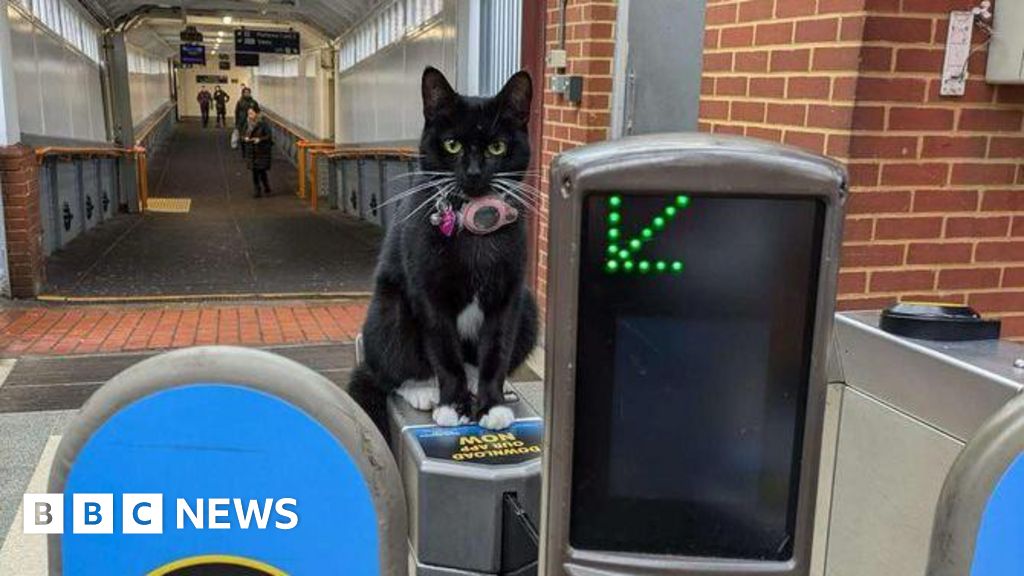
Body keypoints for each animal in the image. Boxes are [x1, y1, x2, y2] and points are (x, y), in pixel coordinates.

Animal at [346, 66, 540, 430]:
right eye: (452, 144)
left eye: (497, 147)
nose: (474, 173)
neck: (475, 227)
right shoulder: (428, 290)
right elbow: (444, 350)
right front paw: (453, 405)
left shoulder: (509, 292)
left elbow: (497, 348)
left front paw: (491, 404)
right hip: (388, 310)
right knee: (389, 368)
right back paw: (423, 389)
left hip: (529, 307)